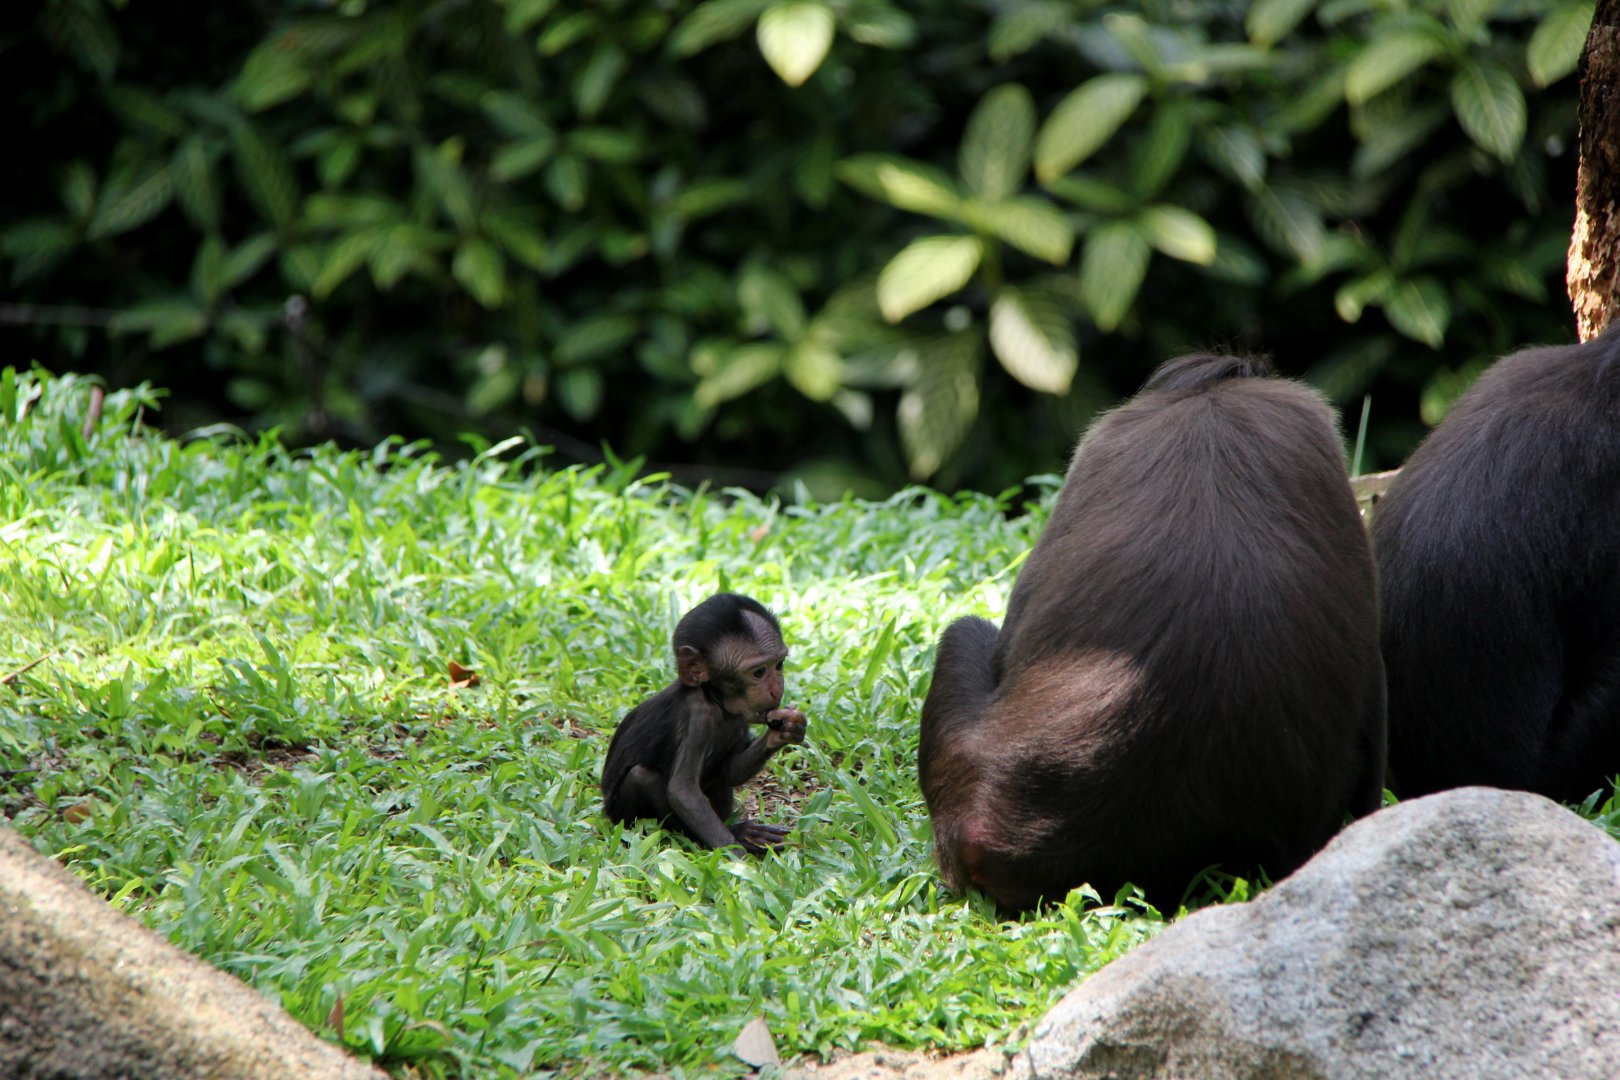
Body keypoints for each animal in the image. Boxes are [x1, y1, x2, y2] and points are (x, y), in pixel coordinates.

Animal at [601, 592, 807, 854]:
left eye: (778, 665)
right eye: (758, 672)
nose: (775, 689)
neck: (716, 700)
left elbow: (728, 771)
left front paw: (785, 731)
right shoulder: (699, 717)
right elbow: (683, 792)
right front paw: (737, 858)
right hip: (622, 813)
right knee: (641, 776)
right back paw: (736, 833)